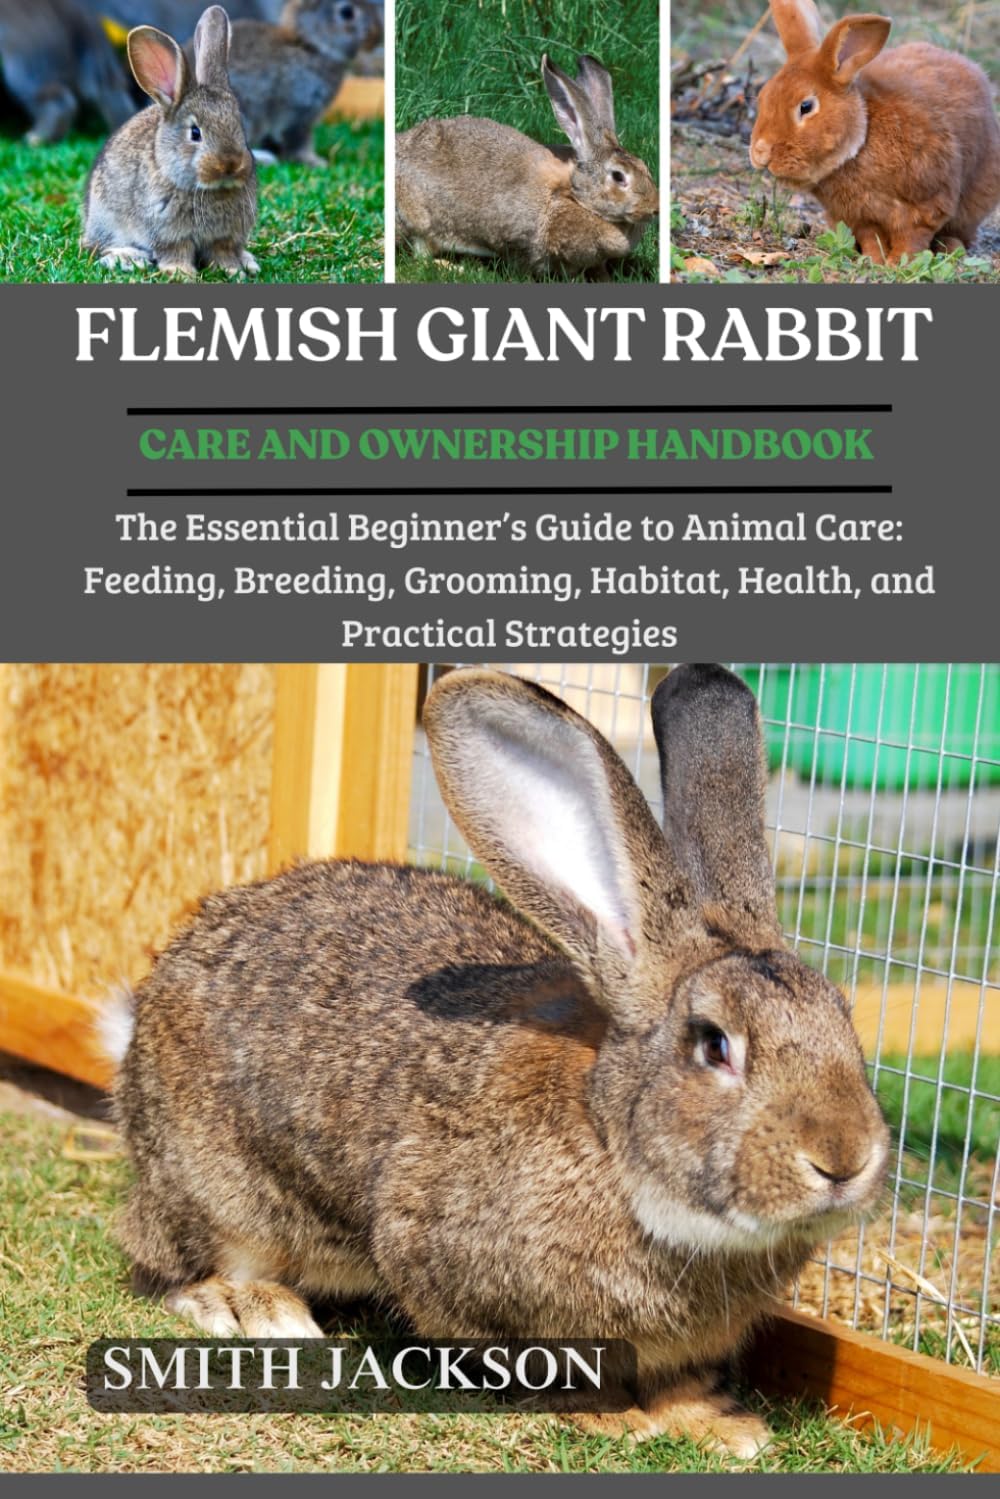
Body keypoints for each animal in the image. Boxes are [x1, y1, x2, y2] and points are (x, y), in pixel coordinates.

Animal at [82, 5, 258, 276]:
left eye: (239, 125)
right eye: (195, 133)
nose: (230, 164)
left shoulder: (224, 238)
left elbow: (223, 254)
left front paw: (233, 271)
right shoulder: (168, 233)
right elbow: (175, 252)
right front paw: (181, 274)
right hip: (107, 220)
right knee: (98, 247)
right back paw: (129, 259)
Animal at [99, 664, 889, 1457]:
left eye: (844, 1017)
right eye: (714, 1043)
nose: (843, 1159)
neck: (610, 1140)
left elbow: (681, 1382)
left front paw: (725, 1430)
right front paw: (614, 1417)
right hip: (217, 1190)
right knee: (167, 1257)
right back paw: (257, 1310)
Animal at [220, 0, 382, 165]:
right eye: (347, 12)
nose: (377, 34)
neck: (311, 46)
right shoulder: (299, 112)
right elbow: (298, 141)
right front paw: (315, 162)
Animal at [396, 53, 659, 278]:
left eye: (644, 167)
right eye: (618, 177)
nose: (655, 208)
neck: (575, 195)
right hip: (421, 222)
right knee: (422, 254)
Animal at [749, 1, 1000, 264]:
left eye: (805, 107)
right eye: (763, 96)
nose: (761, 153)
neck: (861, 140)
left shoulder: (927, 204)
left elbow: (911, 238)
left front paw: (898, 263)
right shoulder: (859, 217)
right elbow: (872, 237)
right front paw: (874, 261)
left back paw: (951, 248)